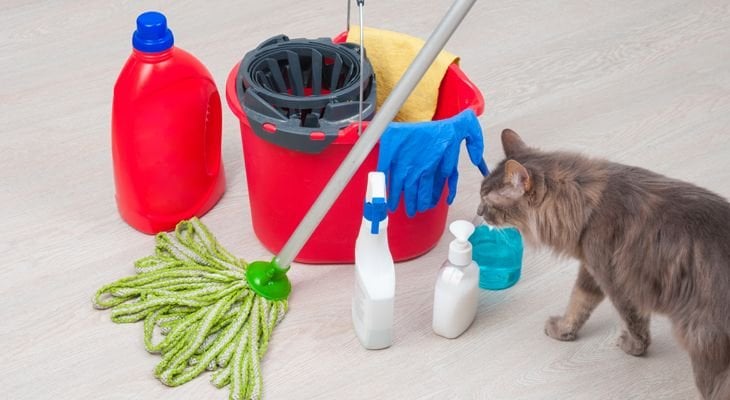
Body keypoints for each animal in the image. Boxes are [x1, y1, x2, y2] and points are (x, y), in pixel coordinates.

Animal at [474, 130, 728, 398]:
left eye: (487, 201)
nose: (478, 211)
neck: (586, 203)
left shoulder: (615, 280)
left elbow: (634, 323)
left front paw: (633, 347)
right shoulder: (591, 269)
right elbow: (577, 303)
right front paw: (564, 330)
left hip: (706, 351)